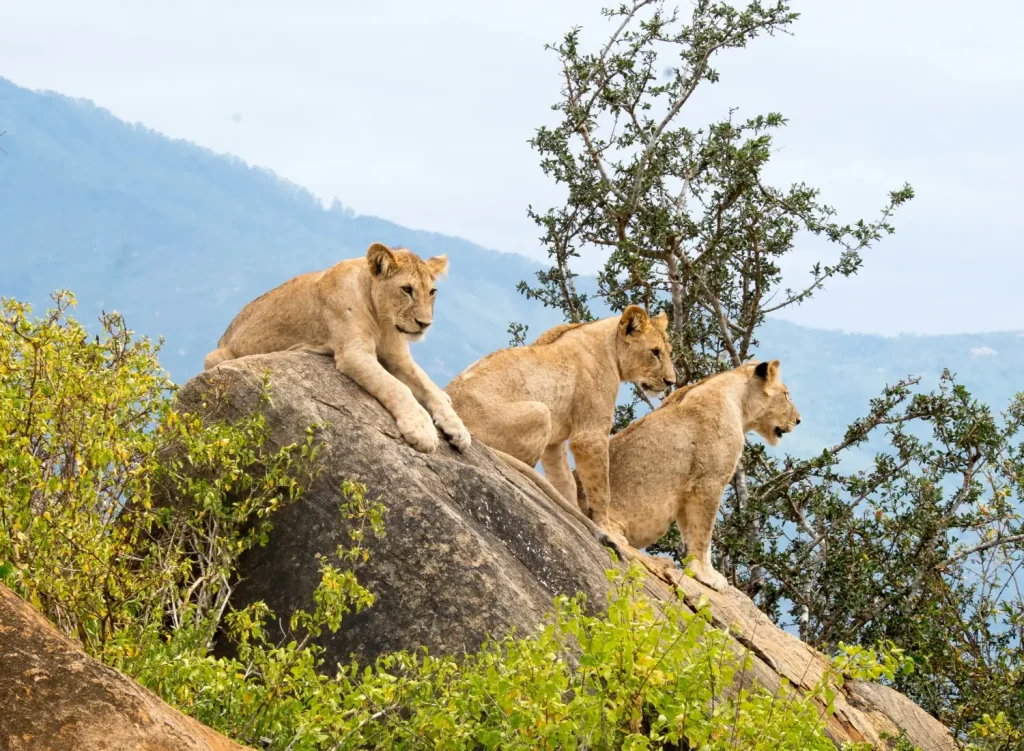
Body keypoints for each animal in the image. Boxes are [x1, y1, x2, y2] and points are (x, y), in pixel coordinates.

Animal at [204, 242, 471, 455]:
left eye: (432, 291)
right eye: (407, 289)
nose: (425, 324)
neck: (382, 320)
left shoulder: (398, 356)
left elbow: (428, 386)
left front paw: (458, 429)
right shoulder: (353, 353)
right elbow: (397, 388)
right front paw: (422, 429)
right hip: (215, 357)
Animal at [445, 306, 676, 543]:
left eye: (667, 351)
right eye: (655, 352)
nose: (671, 381)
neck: (611, 345)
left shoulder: (554, 443)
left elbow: (565, 481)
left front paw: (574, 512)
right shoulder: (589, 436)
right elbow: (602, 488)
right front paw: (607, 529)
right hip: (541, 412)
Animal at [597, 359, 801, 591]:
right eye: (786, 394)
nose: (798, 420)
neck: (739, 402)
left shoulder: (688, 490)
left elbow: (691, 533)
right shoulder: (708, 482)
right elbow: (703, 534)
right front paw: (707, 576)